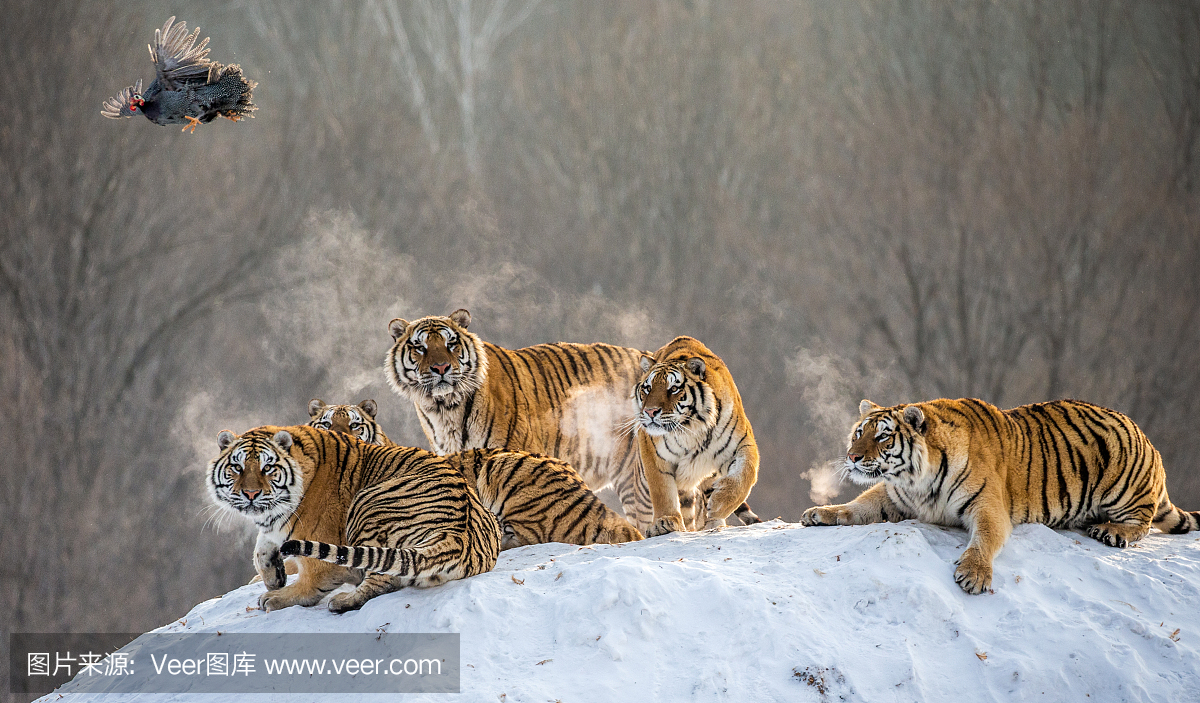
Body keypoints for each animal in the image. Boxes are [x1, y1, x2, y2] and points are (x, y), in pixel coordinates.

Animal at [208, 422, 499, 607]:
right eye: (237, 467)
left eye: (267, 468)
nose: (251, 493)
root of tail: (459, 535)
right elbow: (261, 549)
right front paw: (273, 578)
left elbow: (313, 577)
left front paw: (276, 596)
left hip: (367, 504)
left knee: (382, 579)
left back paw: (343, 601)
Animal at [633, 335, 763, 532]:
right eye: (647, 388)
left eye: (673, 389)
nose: (650, 411)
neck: (691, 428)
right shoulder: (653, 454)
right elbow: (662, 489)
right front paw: (664, 521)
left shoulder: (742, 443)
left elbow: (744, 476)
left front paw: (719, 503)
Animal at [796, 393, 1200, 590]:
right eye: (858, 432)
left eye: (882, 436)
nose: (851, 457)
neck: (915, 480)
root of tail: (1147, 438)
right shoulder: (894, 497)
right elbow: (857, 506)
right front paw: (820, 513)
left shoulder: (988, 506)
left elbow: (984, 539)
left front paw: (974, 575)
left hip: (1123, 479)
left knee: (1142, 522)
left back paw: (1111, 531)